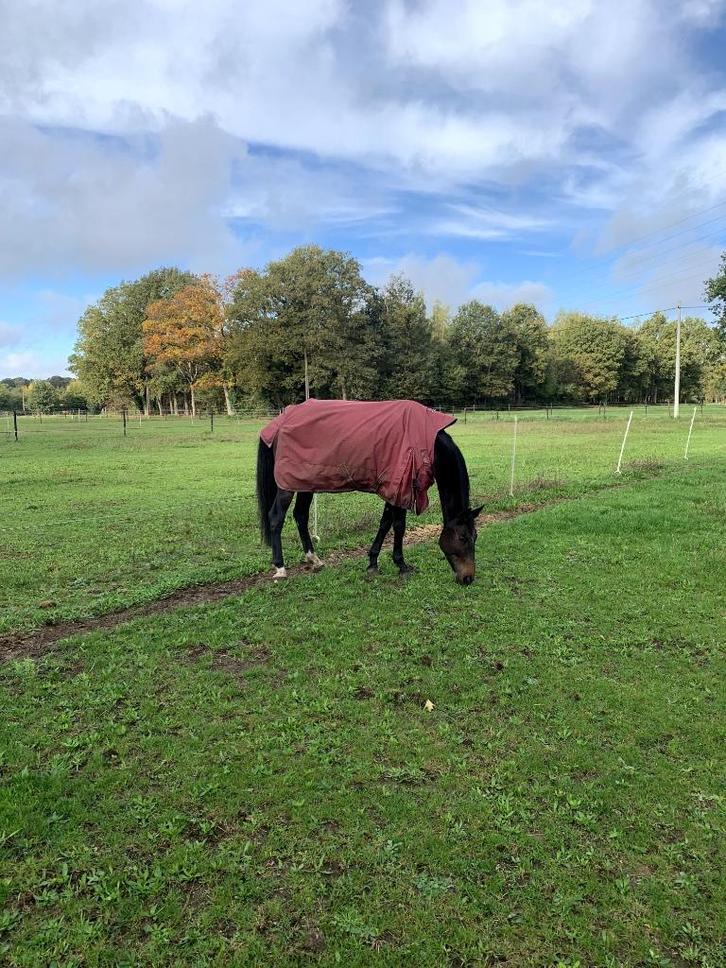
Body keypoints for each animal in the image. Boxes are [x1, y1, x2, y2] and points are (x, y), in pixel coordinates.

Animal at [256, 399, 483, 584]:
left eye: (476, 536)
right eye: (462, 537)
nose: (468, 578)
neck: (425, 442)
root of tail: (280, 422)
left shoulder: (393, 490)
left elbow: (385, 524)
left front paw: (373, 562)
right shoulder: (400, 489)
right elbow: (398, 526)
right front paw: (401, 565)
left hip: (305, 483)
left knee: (301, 516)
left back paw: (314, 560)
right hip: (287, 486)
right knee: (276, 517)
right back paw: (280, 568)